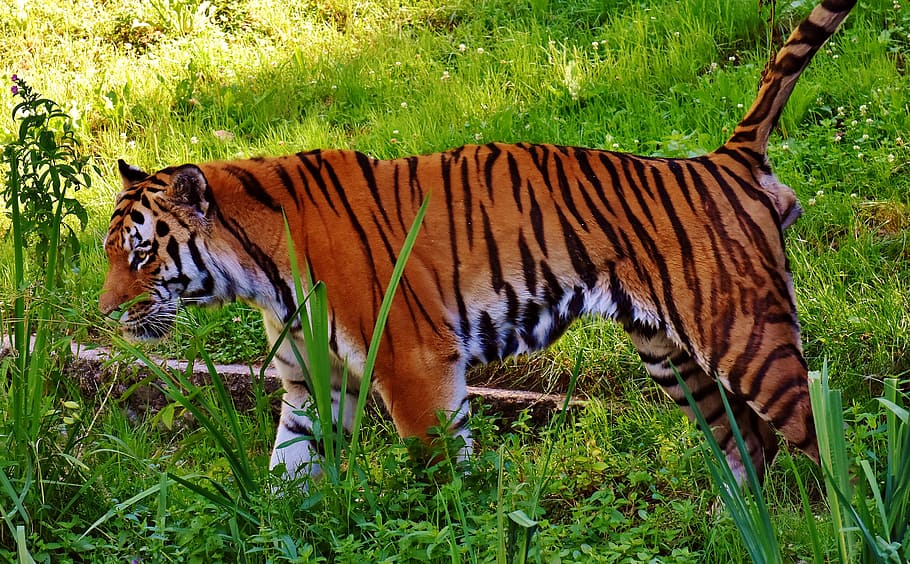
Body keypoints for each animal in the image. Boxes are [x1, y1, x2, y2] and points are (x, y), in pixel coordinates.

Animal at [100, 0, 855, 485]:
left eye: (141, 253)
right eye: (110, 255)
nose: (106, 315)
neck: (256, 271)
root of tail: (722, 158)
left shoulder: (413, 365)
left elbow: (441, 481)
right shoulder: (312, 381)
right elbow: (290, 477)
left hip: (745, 336)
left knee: (826, 436)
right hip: (668, 351)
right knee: (748, 443)